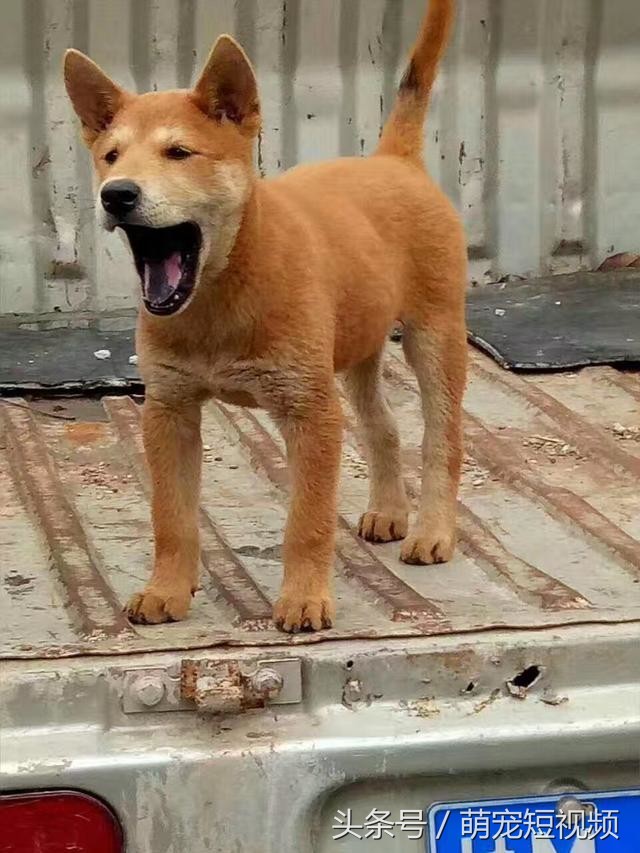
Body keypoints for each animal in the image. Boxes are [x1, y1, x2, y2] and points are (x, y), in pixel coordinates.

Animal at [63, 0, 464, 632]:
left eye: (179, 153)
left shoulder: (310, 412)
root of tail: (393, 160)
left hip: (435, 336)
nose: (116, 194)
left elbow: (308, 521)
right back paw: (387, 511)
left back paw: (433, 531)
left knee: (442, 438)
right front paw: (167, 588)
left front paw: (304, 597)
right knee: (385, 427)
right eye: (110, 157)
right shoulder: (168, 411)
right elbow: (170, 517)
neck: (221, 295)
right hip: (357, 349)